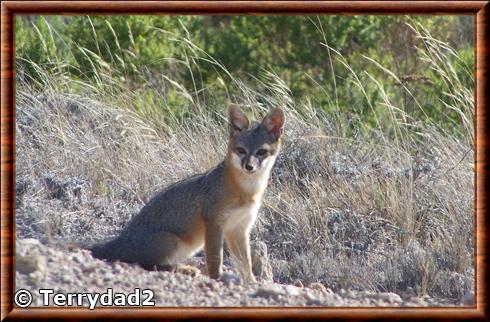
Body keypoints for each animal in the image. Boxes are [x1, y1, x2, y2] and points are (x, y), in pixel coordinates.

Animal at [90, 104, 286, 284]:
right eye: (241, 150)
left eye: (261, 152)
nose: (249, 167)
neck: (246, 191)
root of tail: (120, 240)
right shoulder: (214, 223)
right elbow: (216, 258)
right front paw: (217, 278)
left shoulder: (239, 228)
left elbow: (245, 263)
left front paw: (251, 283)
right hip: (173, 241)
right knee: (148, 265)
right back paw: (185, 269)